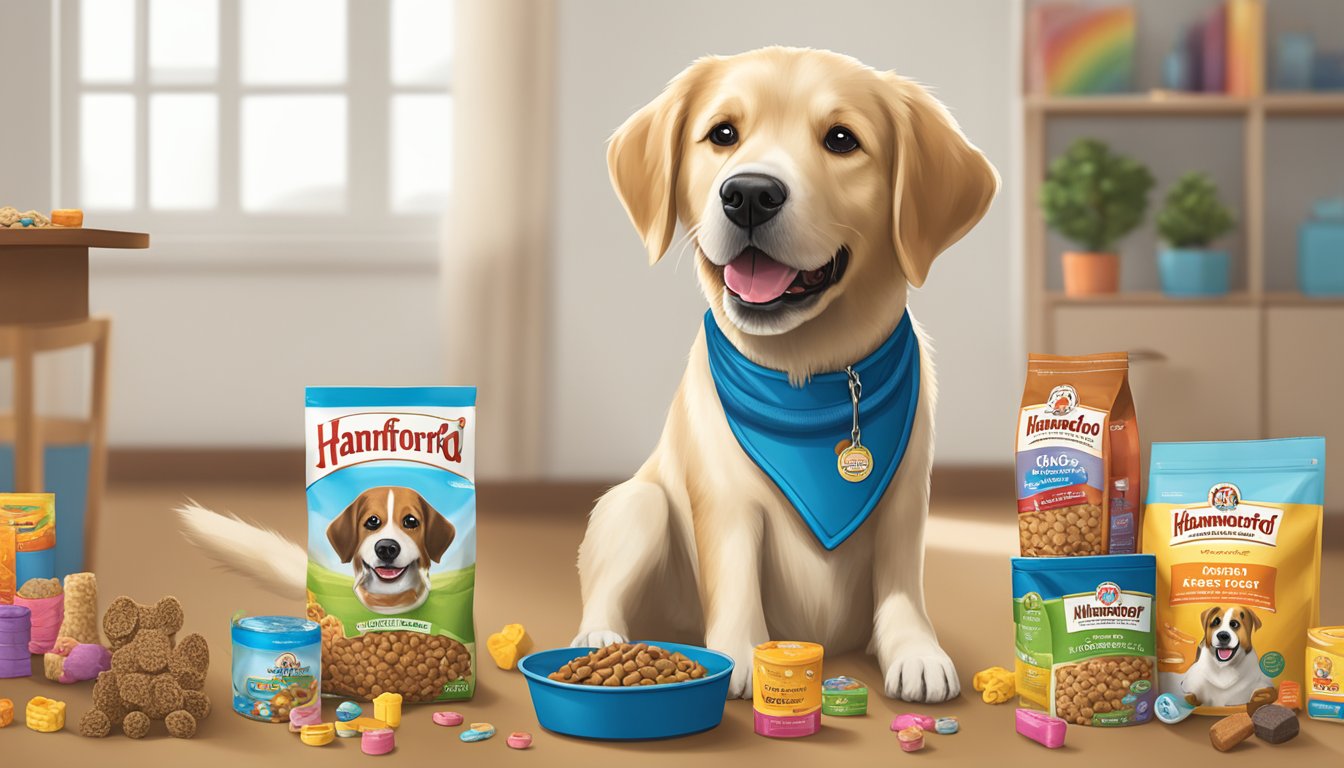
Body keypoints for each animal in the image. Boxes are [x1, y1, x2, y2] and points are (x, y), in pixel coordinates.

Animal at [577, 48, 999, 704]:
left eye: (842, 139)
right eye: (723, 134)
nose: (749, 193)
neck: (811, 377)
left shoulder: (906, 498)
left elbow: (902, 583)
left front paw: (916, 652)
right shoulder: (725, 502)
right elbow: (735, 578)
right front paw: (741, 655)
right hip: (637, 506)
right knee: (606, 588)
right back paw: (600, 641)